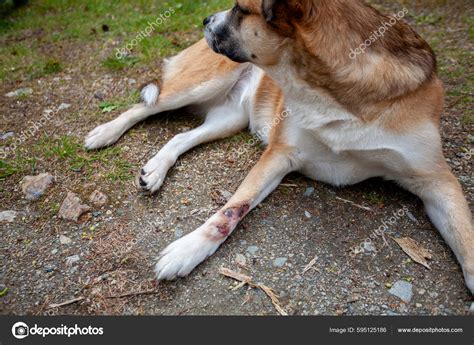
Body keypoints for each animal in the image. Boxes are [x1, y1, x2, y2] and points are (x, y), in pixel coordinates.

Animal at [86, 0, 474, 292]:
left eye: (240, 9)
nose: (206, 19)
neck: (335, 93)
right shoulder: (280, 154)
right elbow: (231, 209)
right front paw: (188, 249)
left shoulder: (437, 181)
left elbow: (466, 240)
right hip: (198, 85)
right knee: (145, 106)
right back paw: (105, 132)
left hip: (229, 118)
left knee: (180, 137)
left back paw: (156, 169)